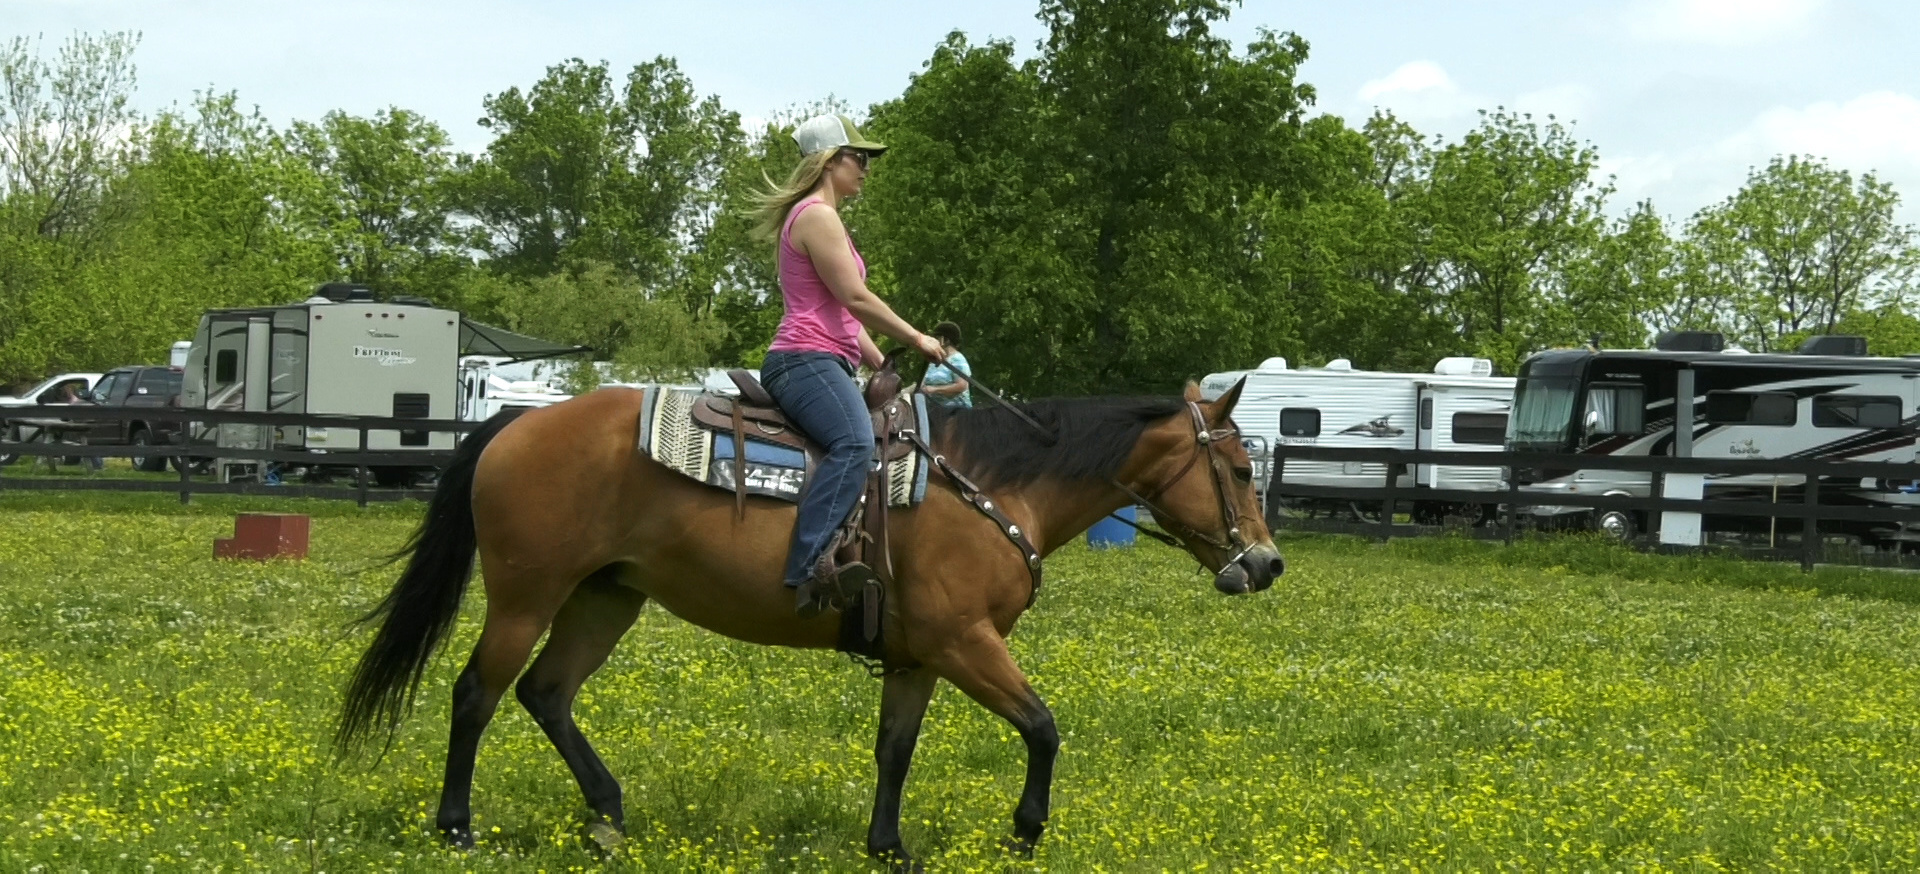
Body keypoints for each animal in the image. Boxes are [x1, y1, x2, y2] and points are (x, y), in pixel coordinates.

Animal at [335, 376, 1282, 867]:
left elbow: (895, 750)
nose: (1268, 564)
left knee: (547, 693)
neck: (992, 485)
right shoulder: (964, 643)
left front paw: (887, 845)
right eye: (1239, 467)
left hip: (607, 596)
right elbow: (1043, 726)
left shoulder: (917, 657)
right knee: (476, 695)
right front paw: (1025, 829)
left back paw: (606, 813)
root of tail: (515, 421)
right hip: (526, 596)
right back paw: (456, 826)